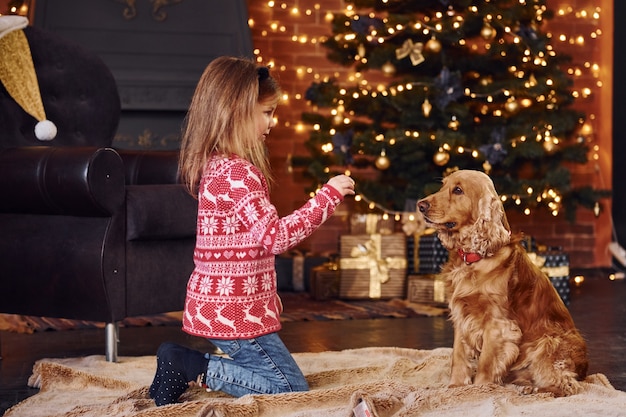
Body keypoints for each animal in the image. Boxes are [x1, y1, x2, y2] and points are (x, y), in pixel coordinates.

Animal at [416, 167, 588, 394]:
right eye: (442, 186)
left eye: (458, 190)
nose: (420, 205)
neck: (474, 259)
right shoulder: (462, 317)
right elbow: (458, 355)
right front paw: (456, 387)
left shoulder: (498, 324)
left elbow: (486, 362)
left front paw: (480, 389)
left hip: (549, 342)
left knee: (566, 384)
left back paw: (538, 391)